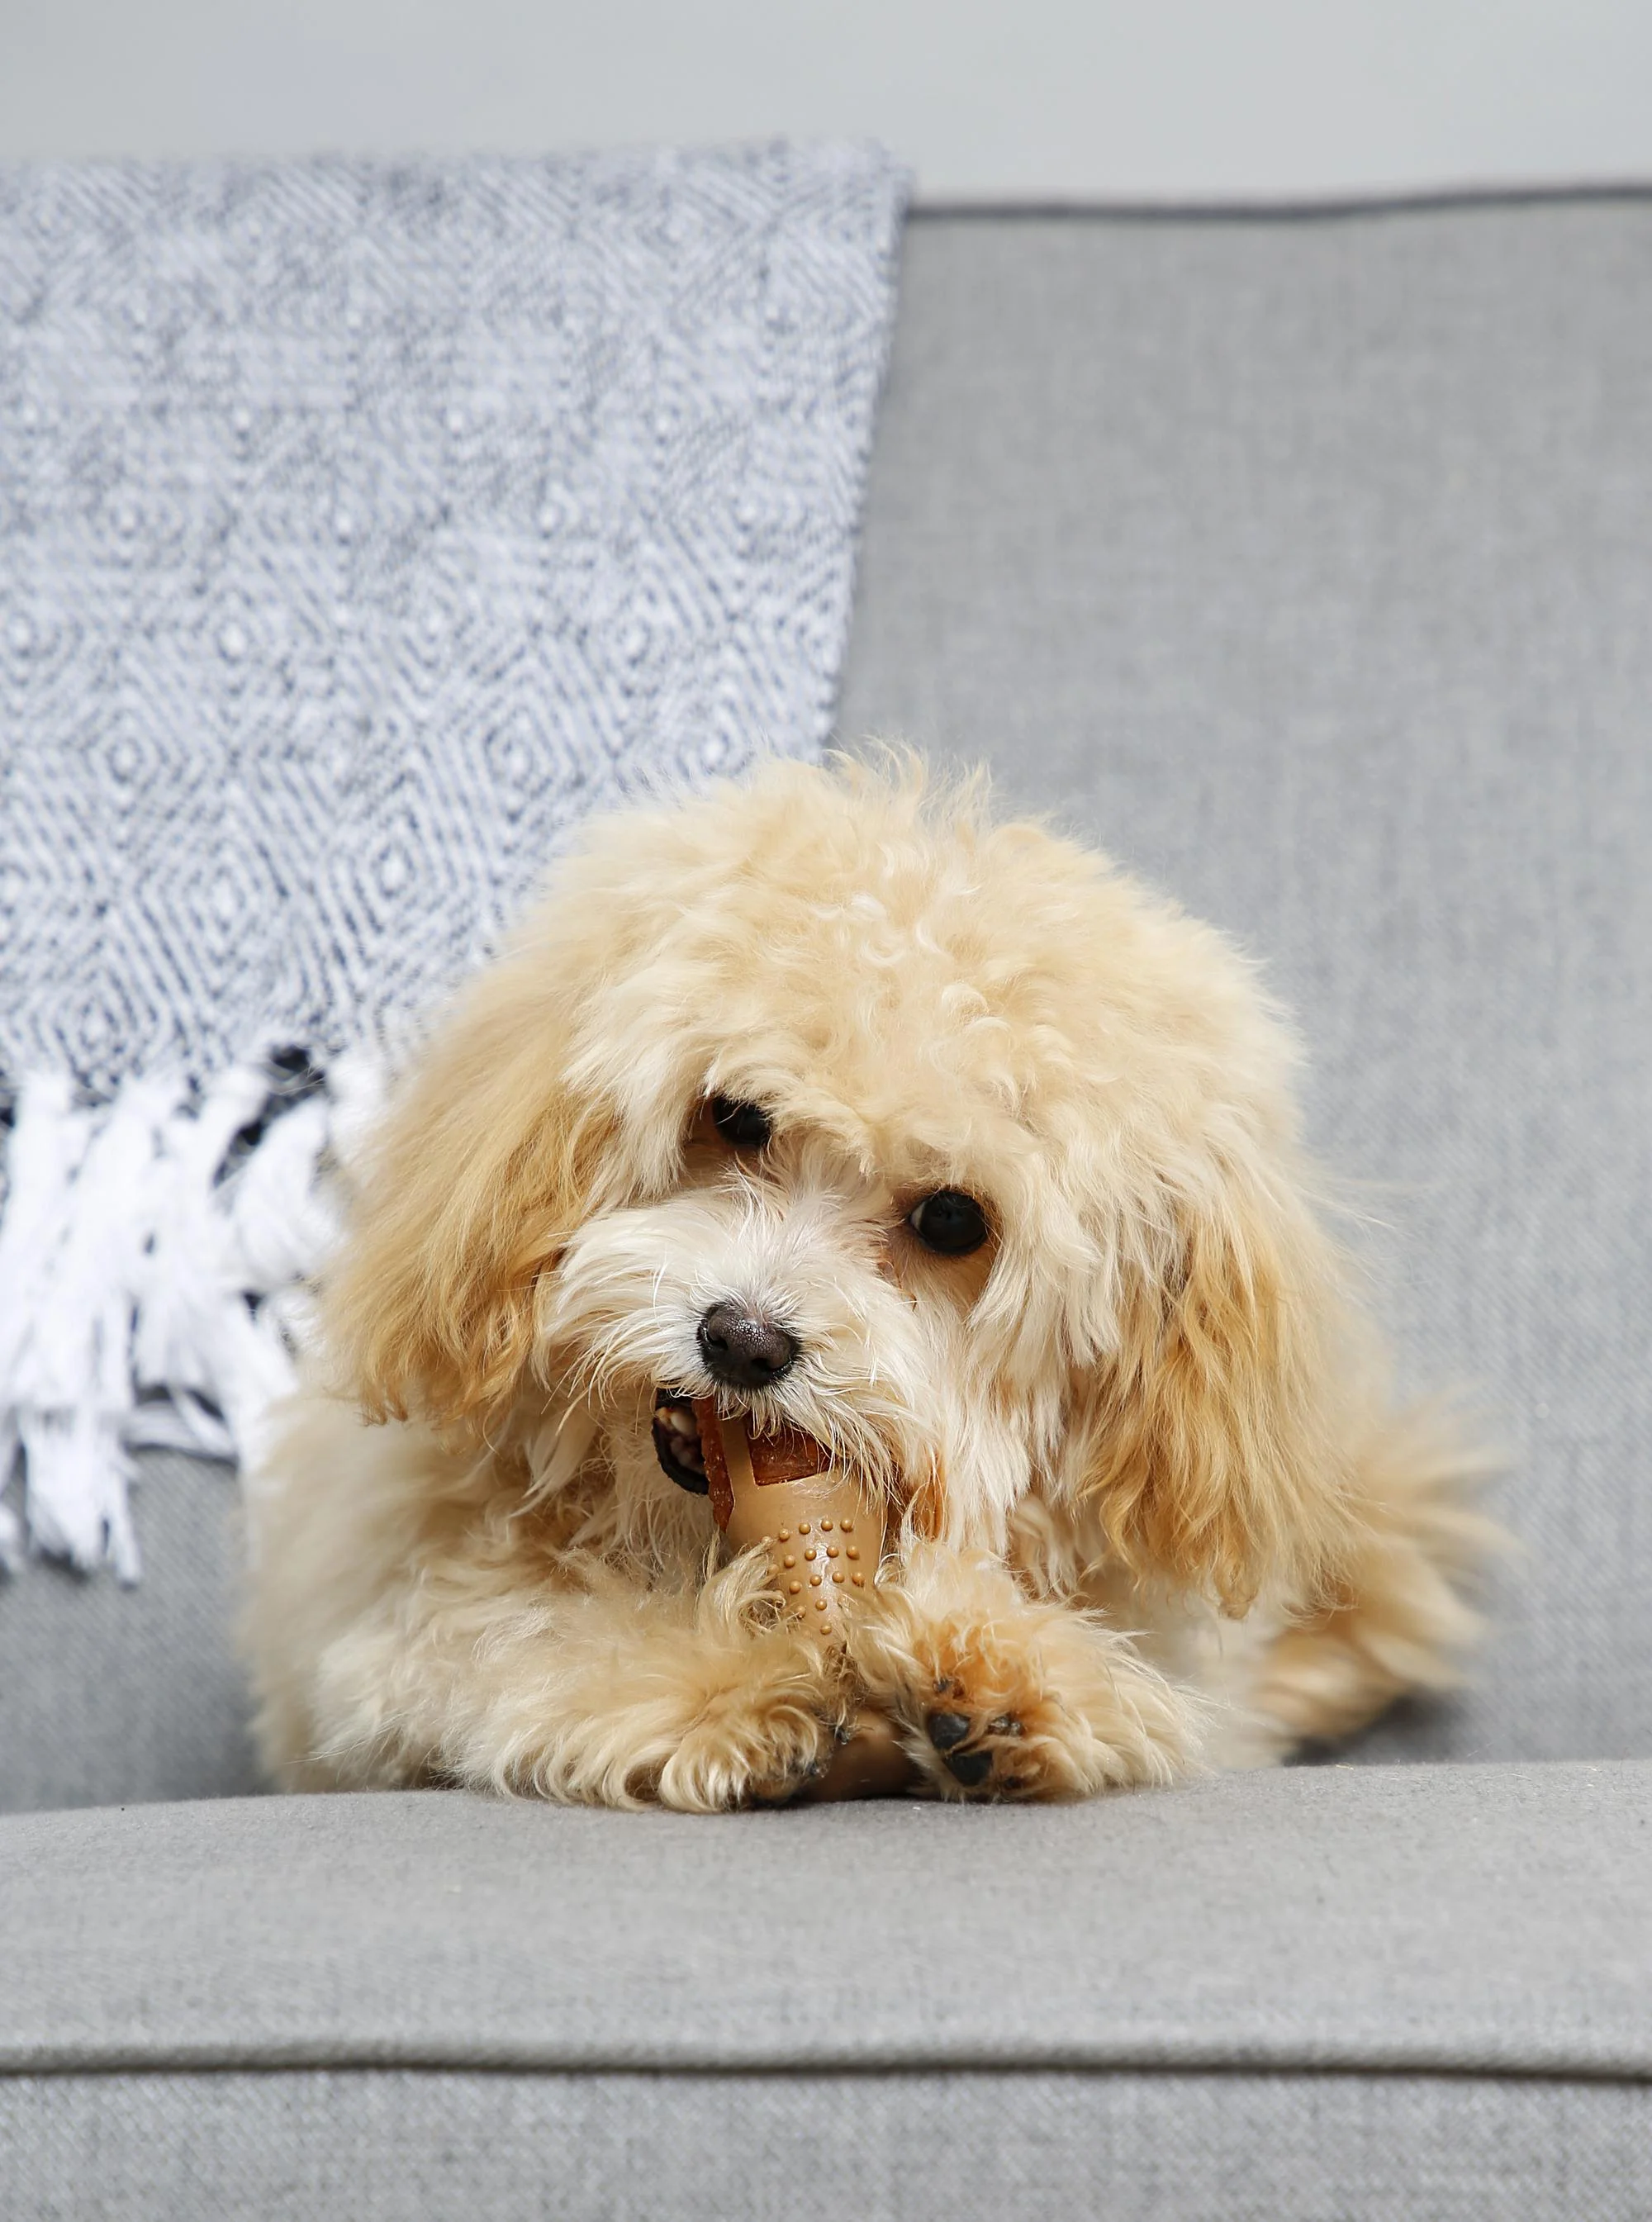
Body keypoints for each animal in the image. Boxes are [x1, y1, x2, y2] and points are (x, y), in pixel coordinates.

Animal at [244, 755, 1487, 1808]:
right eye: (736, 1115)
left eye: (951, 1218)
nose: (742, 1338)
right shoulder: (381, 1648)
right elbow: (516, 1639)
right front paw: (727, 1686)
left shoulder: (1191, 1681)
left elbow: (1143, 1699)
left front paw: (1006, 1678)